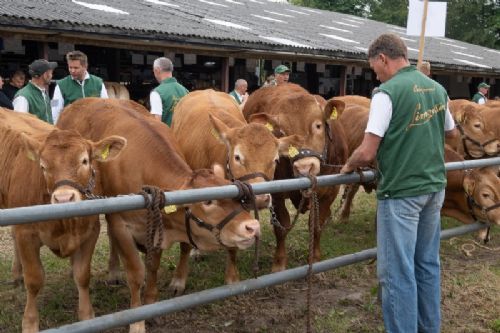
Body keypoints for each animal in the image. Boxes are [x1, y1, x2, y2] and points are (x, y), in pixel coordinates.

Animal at [0, 107, 125, 330]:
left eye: (84, 160)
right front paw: (29, 323)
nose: (64, 198)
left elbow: (82, 275)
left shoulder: (90, 231)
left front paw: (87, 316)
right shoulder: (25, 233)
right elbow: (34, 280)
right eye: (42, 166)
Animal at [57, 97, 262, 330]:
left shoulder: (156, 225)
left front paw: (150, 305)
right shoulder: (120, 224)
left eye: (233, 193)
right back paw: (111, 271)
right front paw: (137, 321)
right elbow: (136, 273)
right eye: (208, 201)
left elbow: (152, 267)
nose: (252, 227)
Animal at [170, 89, 302, 284]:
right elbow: (185, 240)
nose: (260, 199)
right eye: (238, 157)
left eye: (276, 160)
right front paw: (178, 280)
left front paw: (232, 277)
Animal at [243, 83, 348, 270]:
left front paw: (316, 258)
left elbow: (316, 224)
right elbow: (282, 227)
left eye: (318, 125)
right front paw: (279, 263)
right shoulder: (276, 194)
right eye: (283, 132)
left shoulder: (331, 191)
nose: (305, 167)